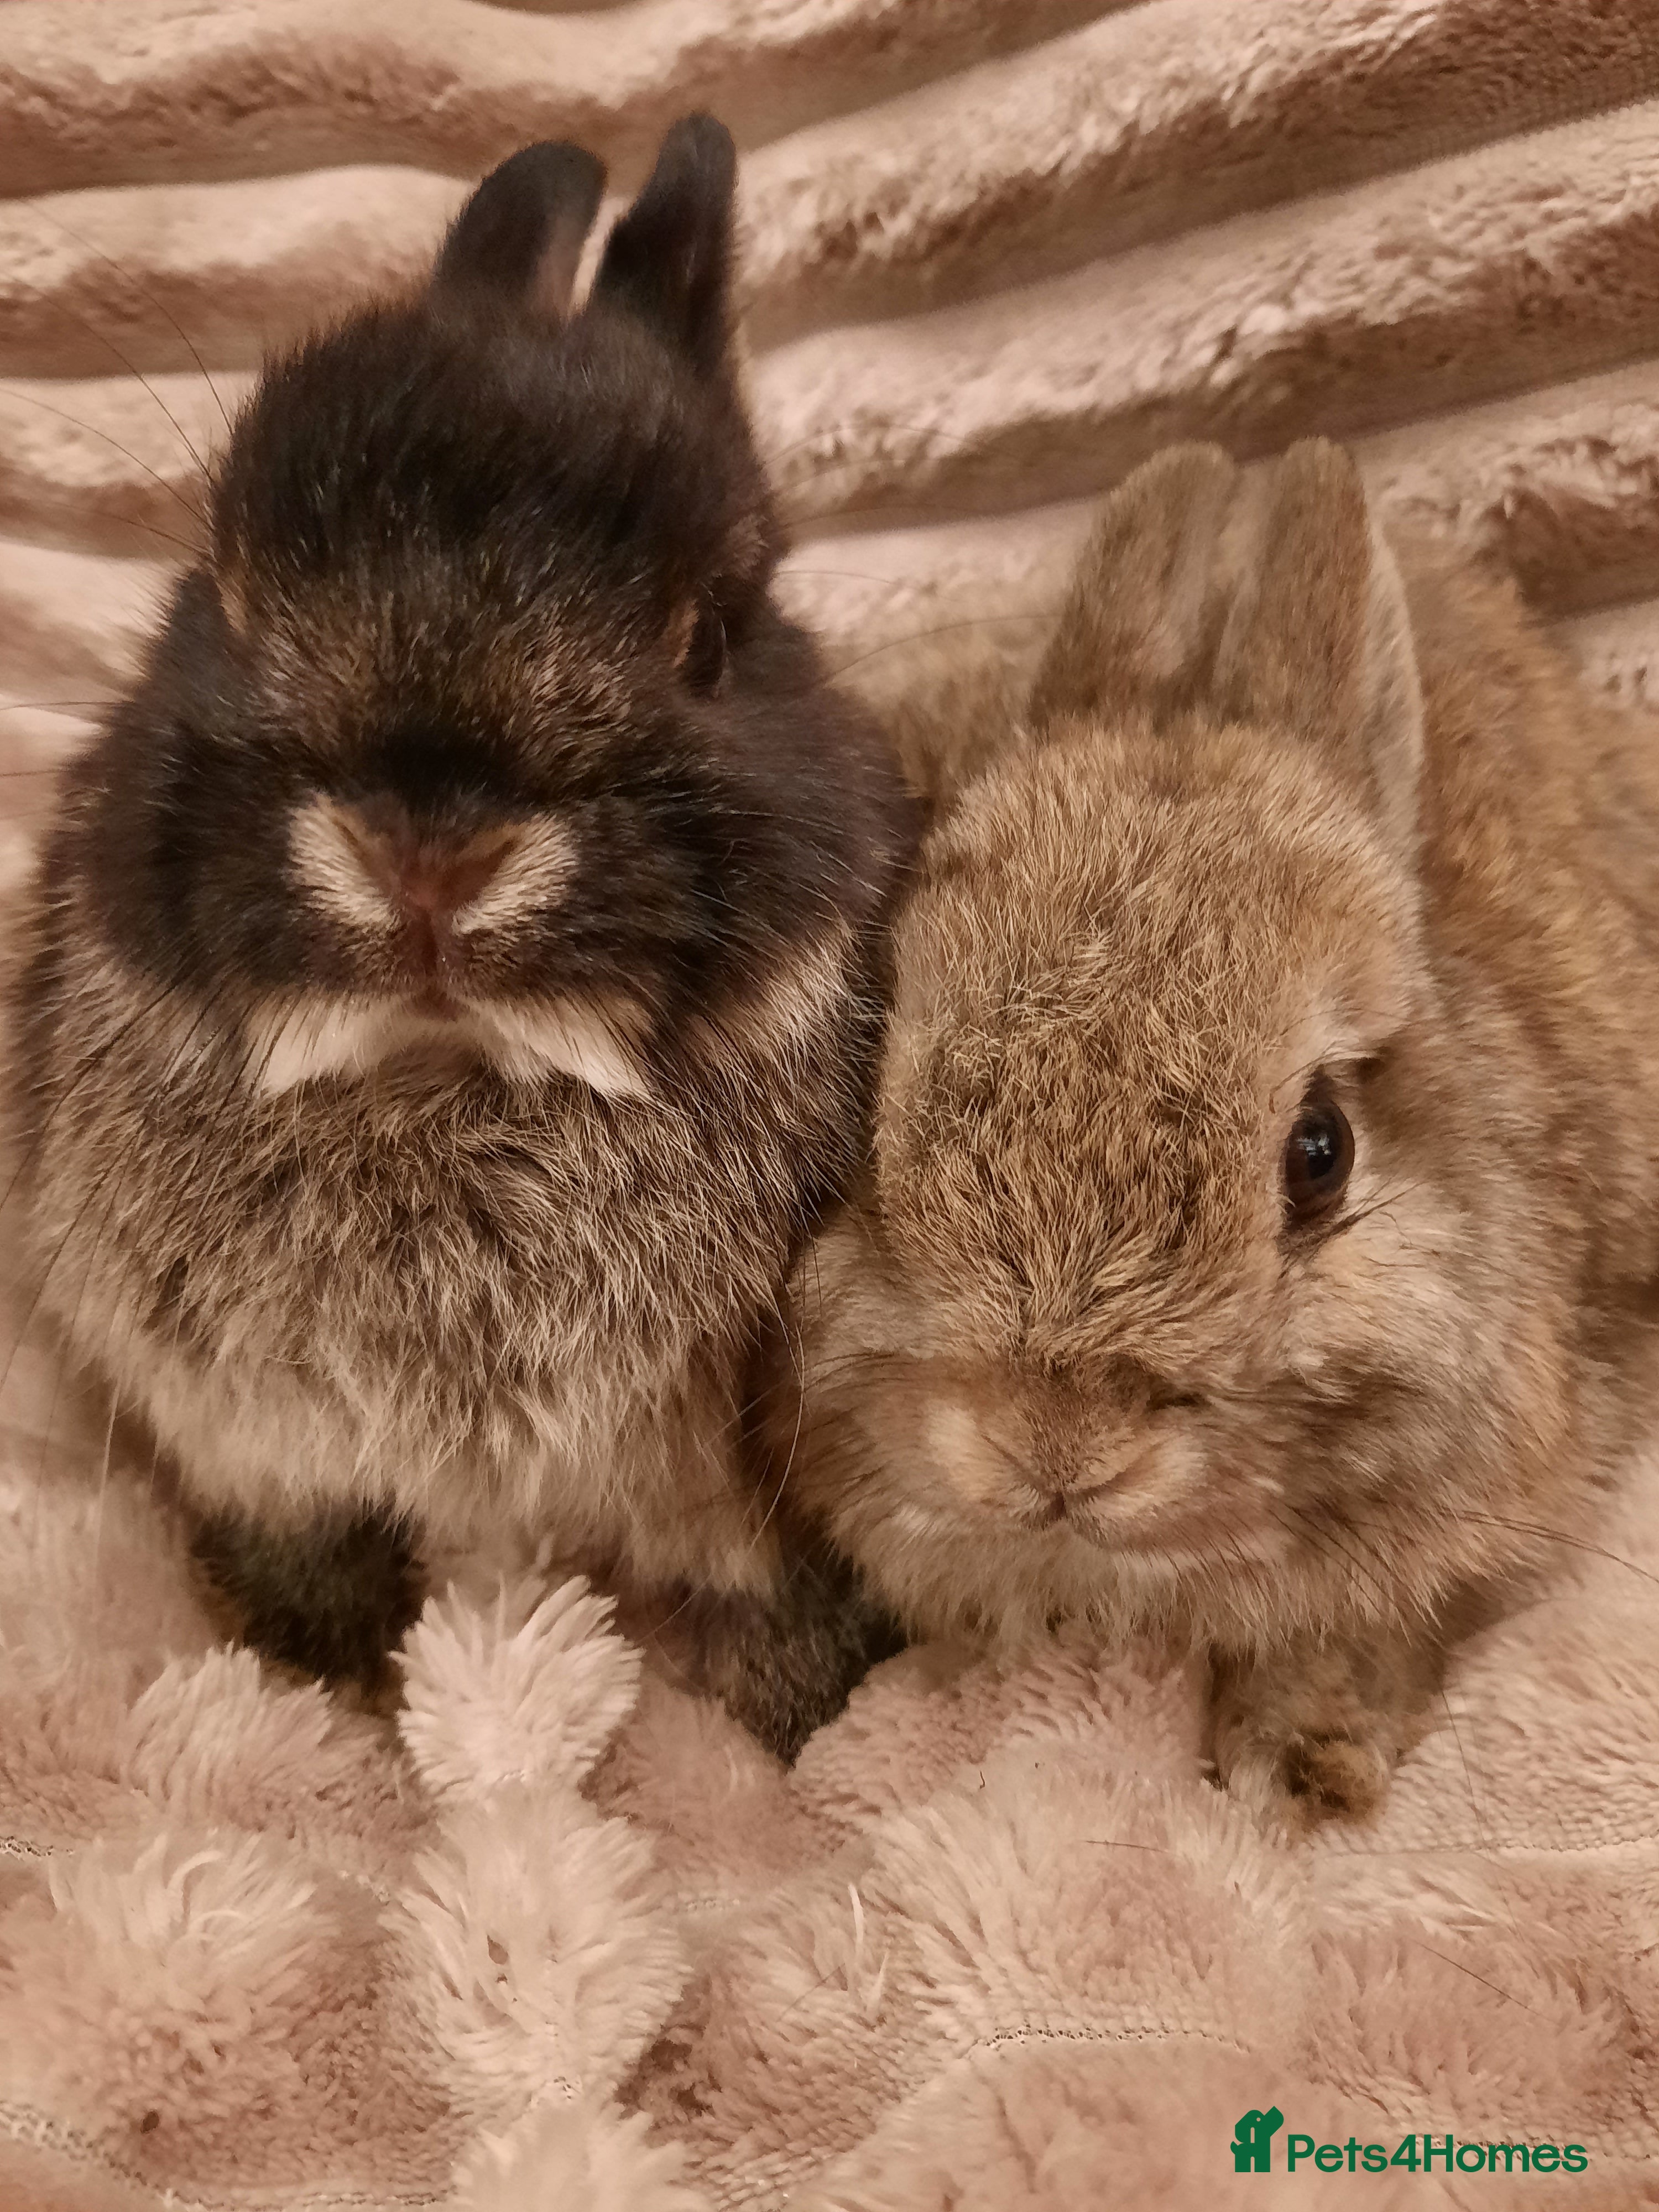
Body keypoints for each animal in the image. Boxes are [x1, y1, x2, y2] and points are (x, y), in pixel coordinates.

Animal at [8, 115, 916, 1759]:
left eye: (711, 635)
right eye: (225, 597)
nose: (425, 853)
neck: (444, 1077)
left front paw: (797, 1730)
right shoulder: (256, 1444)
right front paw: (336, 1683)